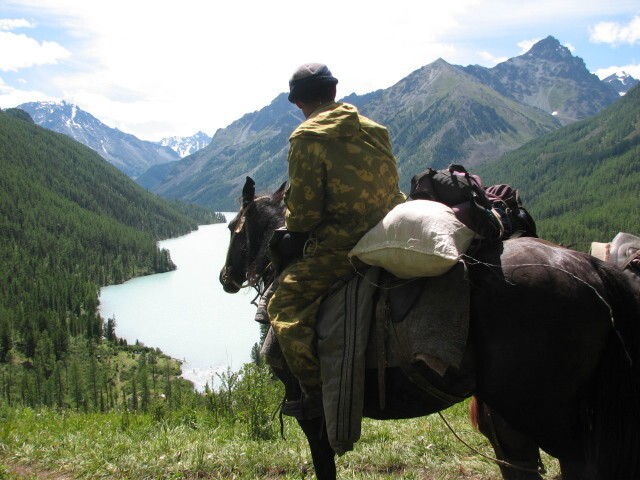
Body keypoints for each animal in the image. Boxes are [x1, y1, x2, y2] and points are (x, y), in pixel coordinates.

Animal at [219, 177, 640, 480]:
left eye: (233, 229)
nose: (225, 278)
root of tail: (591, 269)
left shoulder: (309, 409)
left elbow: (324, 466)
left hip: (543, 412)